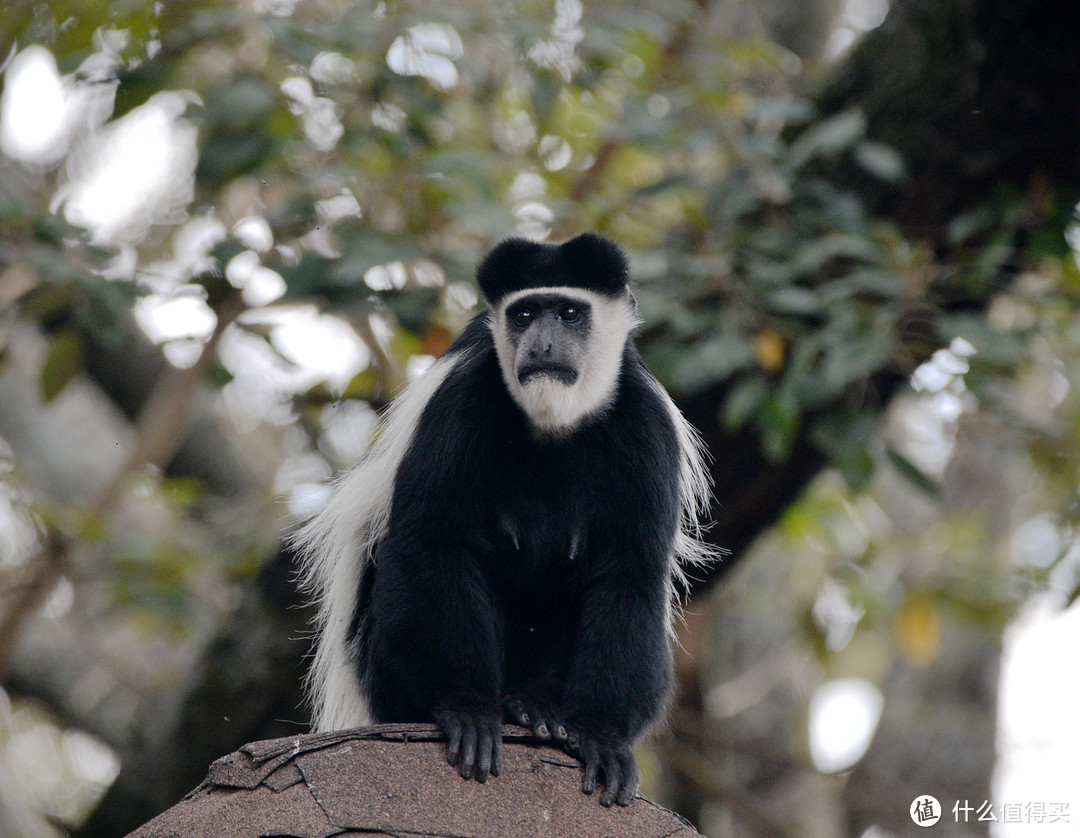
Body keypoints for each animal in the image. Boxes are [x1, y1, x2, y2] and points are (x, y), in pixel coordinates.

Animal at [298, 232, 717, 807]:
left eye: (568, 313)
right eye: (523, 314)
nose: (540, 345)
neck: (552, 424)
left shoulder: (645, 426)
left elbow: (629, 575)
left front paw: (603, 740)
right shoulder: (461, 399)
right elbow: (434, 541)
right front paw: (468, 712)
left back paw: (536, 711)